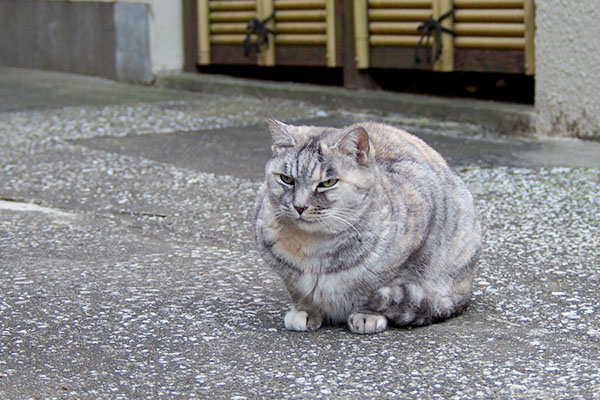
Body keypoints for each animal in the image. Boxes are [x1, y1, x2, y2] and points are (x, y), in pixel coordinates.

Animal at [253, 119, 482, 334]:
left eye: (328, 183)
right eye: (287, 179)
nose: (299, 206)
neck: (314, 246)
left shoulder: (410, 252)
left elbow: (373, 288)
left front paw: (366, 315)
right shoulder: (284, 271)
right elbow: (298, 291)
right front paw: (304, 311)